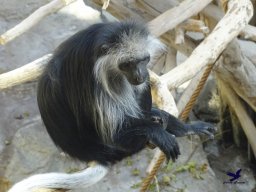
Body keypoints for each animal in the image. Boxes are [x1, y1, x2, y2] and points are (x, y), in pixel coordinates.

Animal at [8, 20, 216, 191]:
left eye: (143, 60)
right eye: (127, 64)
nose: (139, 74)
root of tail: (94, 152)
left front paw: (171, 123)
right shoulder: (95, 75)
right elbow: (116, 132)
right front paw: (157, 131)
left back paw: (176, 125)